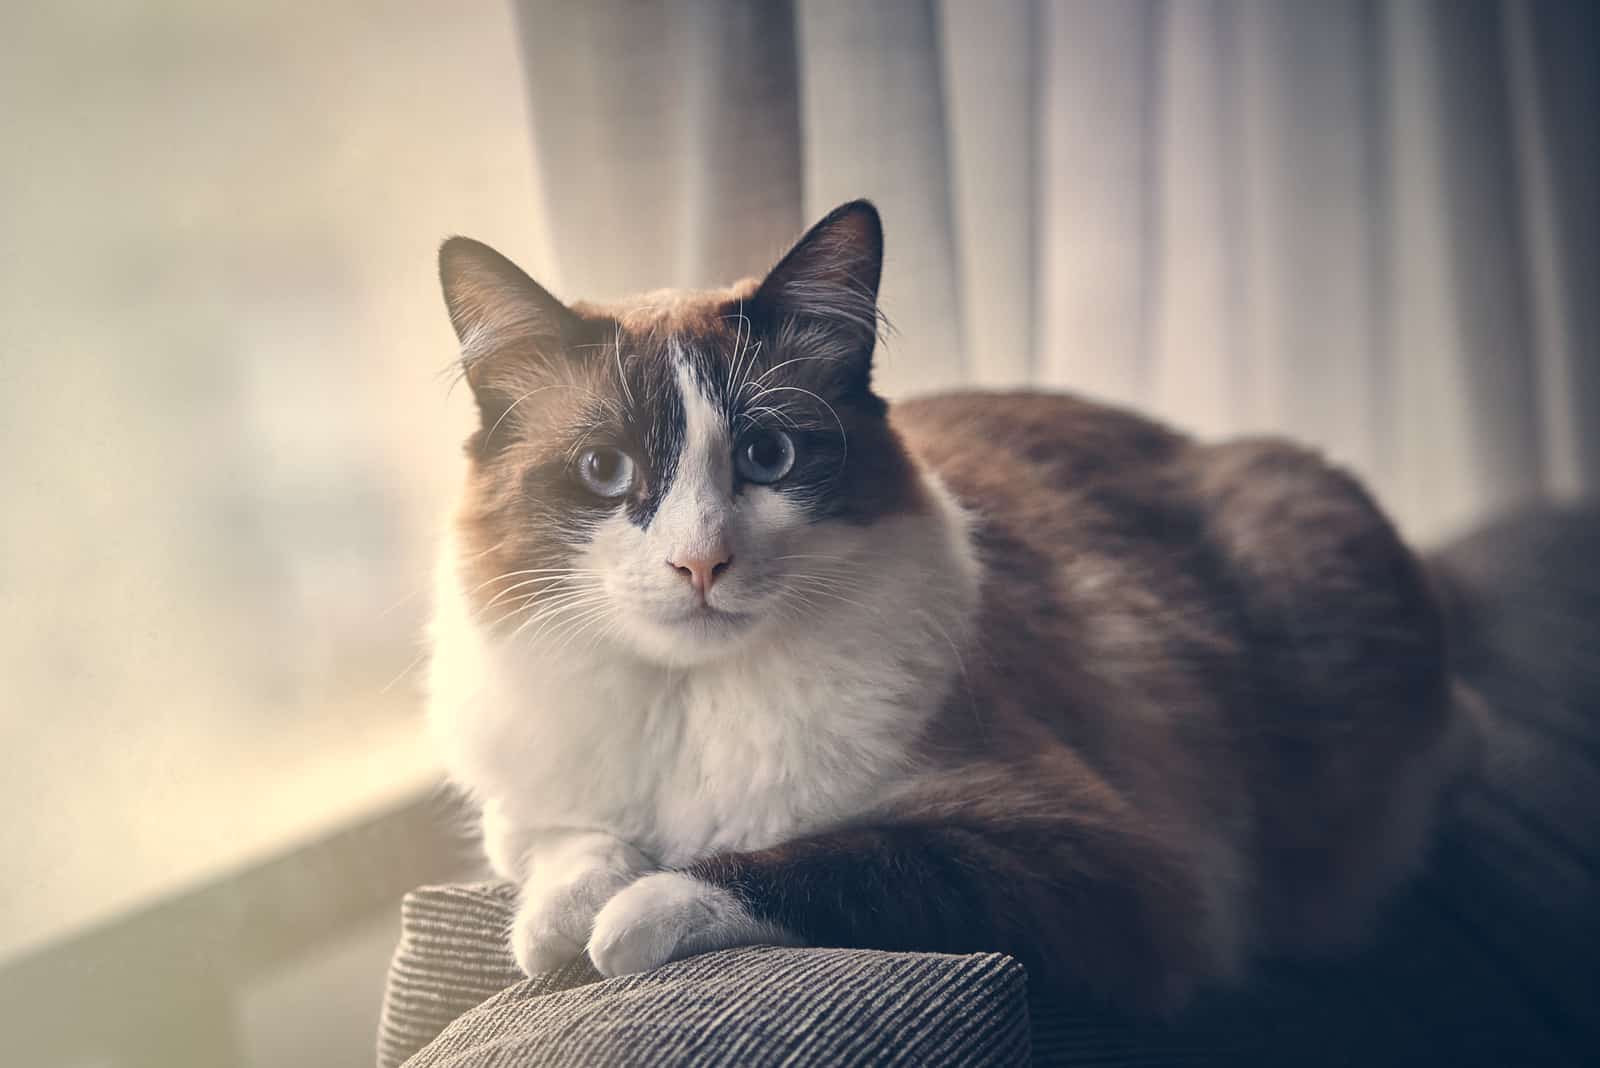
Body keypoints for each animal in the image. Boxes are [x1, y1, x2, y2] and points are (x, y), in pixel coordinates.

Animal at [428, 198, 1484, 1010]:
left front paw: (630, 920)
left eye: (769, 457)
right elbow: (564, 852)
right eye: (605, 472)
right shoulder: (531, 811)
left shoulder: (1111, 866)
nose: (700, 565)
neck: (694, 703)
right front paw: (559, 924)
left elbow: (835, 862)